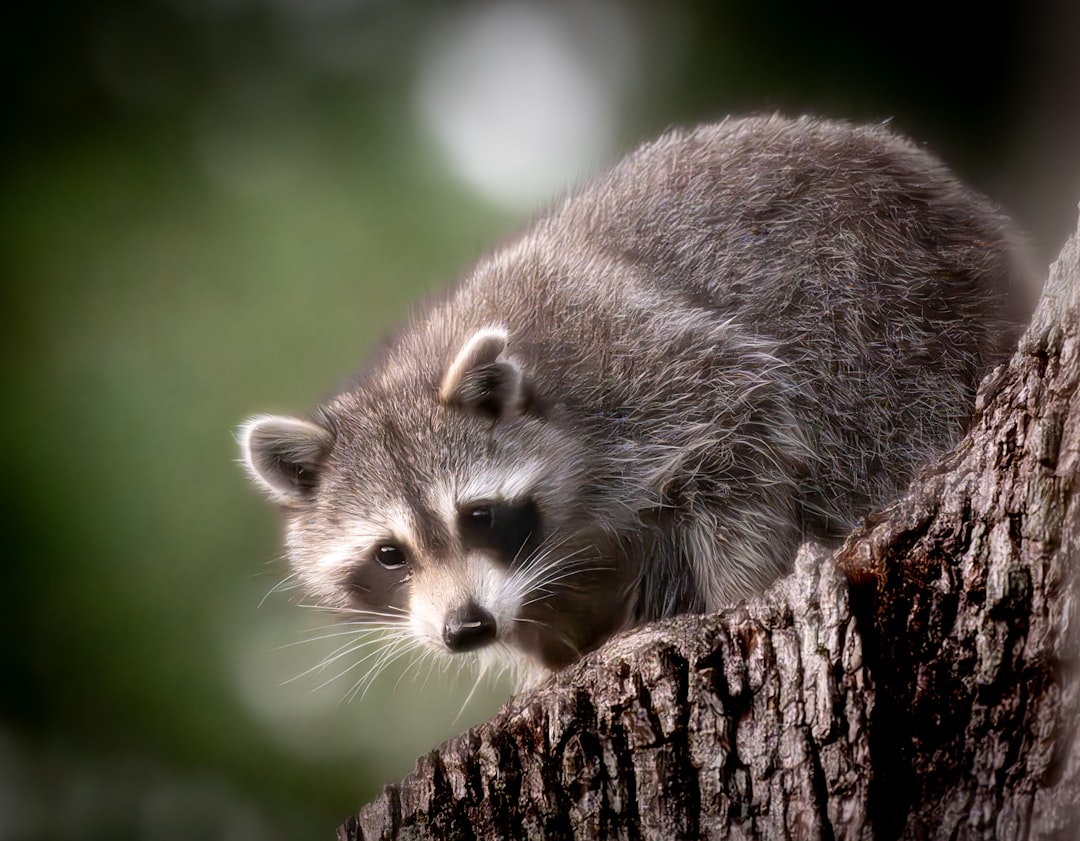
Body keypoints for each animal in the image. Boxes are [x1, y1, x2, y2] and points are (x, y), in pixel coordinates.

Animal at [239, 114, 1035, 686]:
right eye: (389, 554)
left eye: (478, 515)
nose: (466, 629)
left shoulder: (638, 369)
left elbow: (741, 426)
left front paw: (733, 590)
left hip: (893, 319)